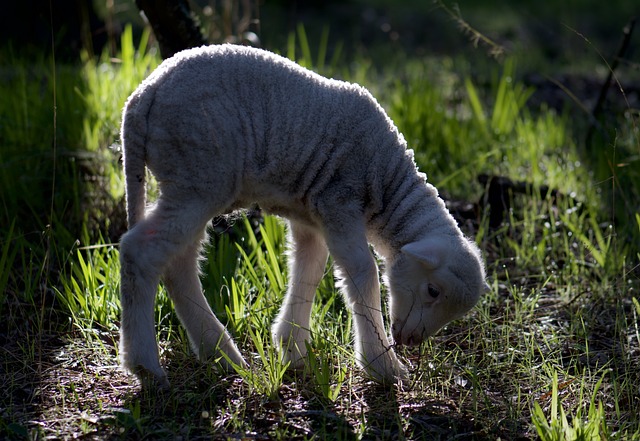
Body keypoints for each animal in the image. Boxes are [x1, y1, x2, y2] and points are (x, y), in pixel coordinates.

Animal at [119, 43, 490, 388]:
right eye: (433, 290)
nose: (410, 341)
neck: (387, 183)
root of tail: (142, 96)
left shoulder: (309, 216)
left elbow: (309, 268)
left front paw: (292, 349)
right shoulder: (340, 201)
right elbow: (363, 273)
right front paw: (382, 366)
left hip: (192, 183)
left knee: (178, 264)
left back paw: (221, 353)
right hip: (197, 174)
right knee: (140, 251)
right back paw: (145, 365)